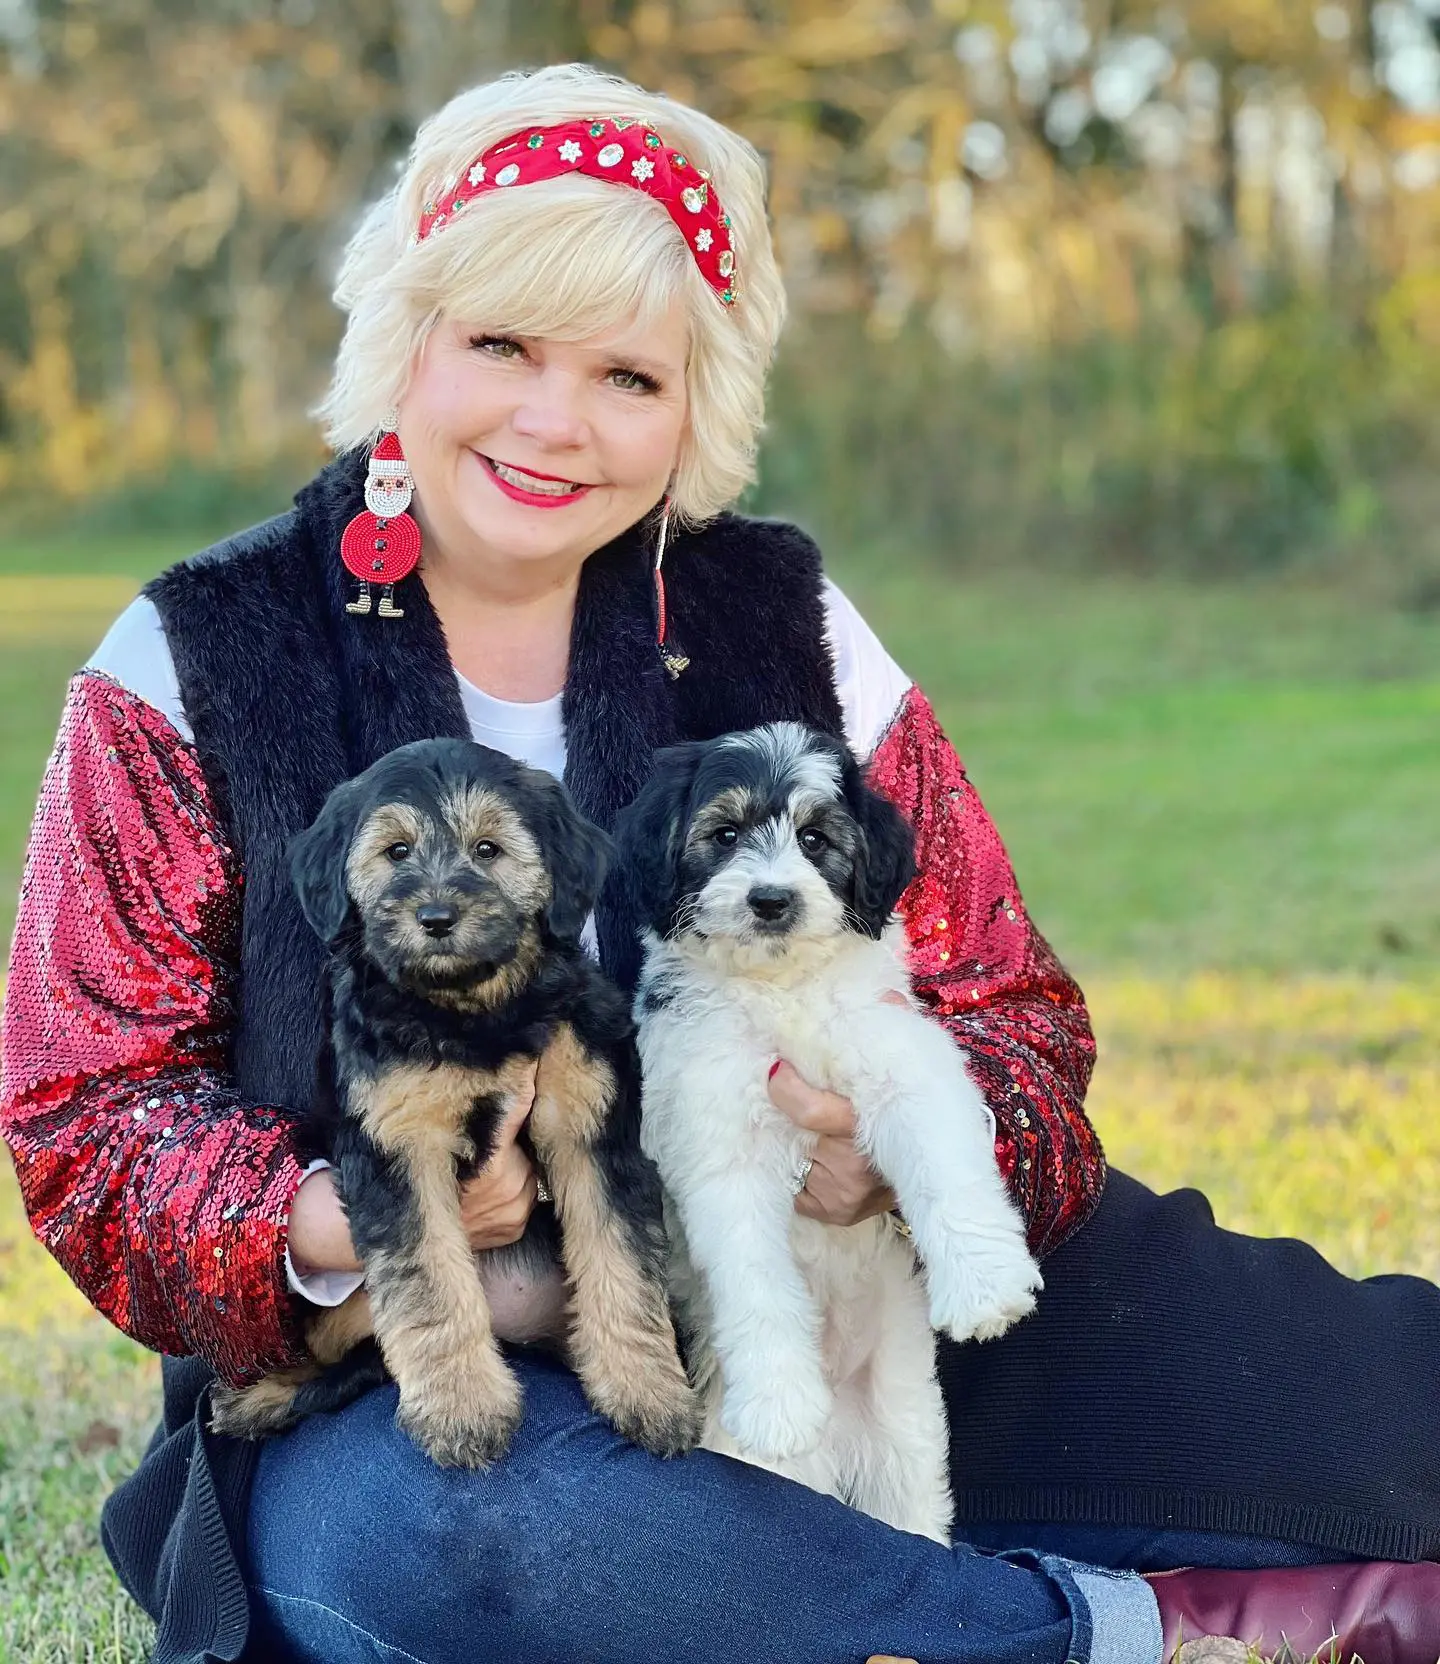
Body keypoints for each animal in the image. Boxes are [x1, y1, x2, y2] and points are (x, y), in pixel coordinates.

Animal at [213, 735, 702, 1464]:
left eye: (488, 850)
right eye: (396, 852)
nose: (437, 917)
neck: (473, 1015)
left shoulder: (591, 1120)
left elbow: (621, 1261)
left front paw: (649, 1393)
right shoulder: (399, 1147)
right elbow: (432, 1284)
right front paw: (463, 1411)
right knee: (335, 1356)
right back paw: (260, 1395)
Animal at [612, 722, 1038, 1537]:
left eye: (815, 839)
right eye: (725, 835)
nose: (771, 900)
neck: (784, 994)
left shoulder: (903, 1059)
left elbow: (947, 1169)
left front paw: (985, 1287)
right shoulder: (718, 1142)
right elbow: (753, 1273)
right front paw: (779, 1402)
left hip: (904, 1440)